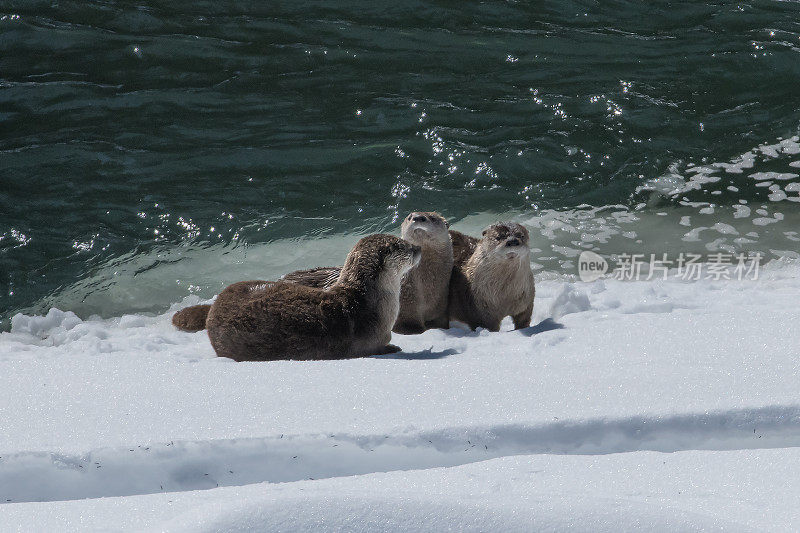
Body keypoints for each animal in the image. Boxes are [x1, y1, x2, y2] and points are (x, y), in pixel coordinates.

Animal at [203, 234, 422, 362]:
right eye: (404, 245)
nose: (419, 248)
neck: (367, 303)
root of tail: (215, 305)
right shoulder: (367, 341)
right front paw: (393, 347)